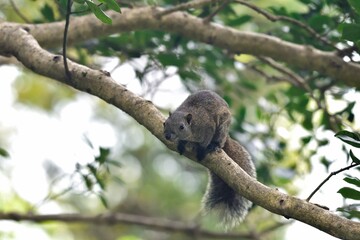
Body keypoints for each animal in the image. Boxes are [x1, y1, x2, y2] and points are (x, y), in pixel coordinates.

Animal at [163, 90, 256, 229]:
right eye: (165, 123)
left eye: (181, 127)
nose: (168, 136)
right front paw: (181, 144)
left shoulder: (208, 127)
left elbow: (205, 142)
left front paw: (202, 150)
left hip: (222, 128)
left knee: (219, 141)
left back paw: (214, 146)